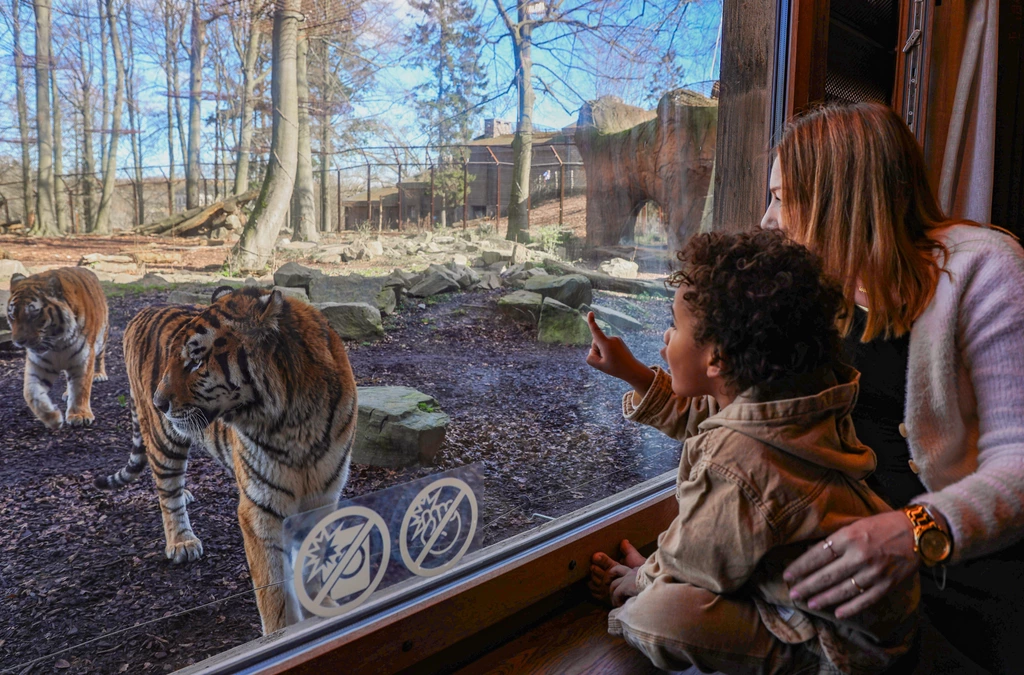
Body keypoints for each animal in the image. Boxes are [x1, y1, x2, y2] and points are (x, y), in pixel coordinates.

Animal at [7, 268, 109, 430]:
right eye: (12, 315)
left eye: (34, 314)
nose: (18, 341)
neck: (57, 344)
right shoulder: (38, 364)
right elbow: (30, 393)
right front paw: (52, 418)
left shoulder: (84, 357)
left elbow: (81, 387)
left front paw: (80, 415)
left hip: (102, 337)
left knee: (100, 357)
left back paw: (99, 374)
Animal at [96, 288, 360, 635]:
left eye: (196, 360)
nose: (159, 402)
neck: (297, 422)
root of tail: (145, 309)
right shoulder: (259, 510)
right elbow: (274, 593)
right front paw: (281, 632)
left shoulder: (323, 497)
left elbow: (315, 562)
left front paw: (322, 607)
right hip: (163, 438)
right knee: (166, 488)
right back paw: (181, 541)